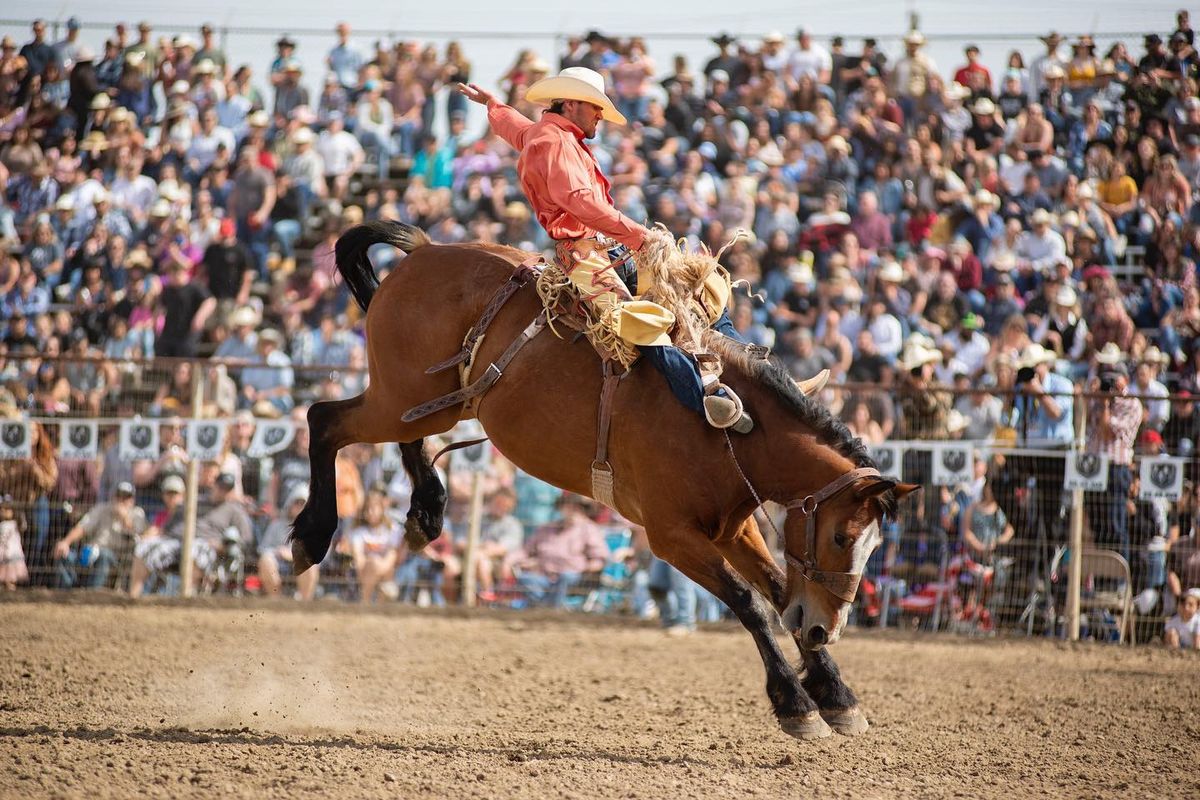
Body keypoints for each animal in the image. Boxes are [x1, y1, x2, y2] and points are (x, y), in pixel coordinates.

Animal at [290, 221, 917, 740]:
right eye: (841, 536)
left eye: (874, 546)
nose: (824, 630)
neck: (729, 427)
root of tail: (424, 251)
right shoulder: (671, 537)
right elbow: (751, 602)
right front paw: (796, 703)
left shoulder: (733, 529)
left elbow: (781, 589)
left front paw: (836, 694)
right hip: (398, 401)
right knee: (323, 420)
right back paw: (311, 537)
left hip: (430, 403)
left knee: (401, 436)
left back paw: (425, 513)